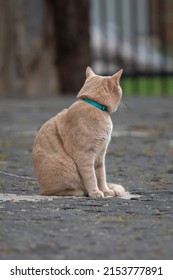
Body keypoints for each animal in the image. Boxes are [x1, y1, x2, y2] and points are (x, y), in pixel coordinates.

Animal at [32, 66, 127, 198]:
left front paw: (105, 191)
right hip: (63, 169)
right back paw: (78, 192)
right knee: (54, 191)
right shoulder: (85, 155)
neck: (96, 107)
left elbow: (101, 175)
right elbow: (91, 177)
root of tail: (41, 188)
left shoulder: (100, 154)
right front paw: (95, 192)